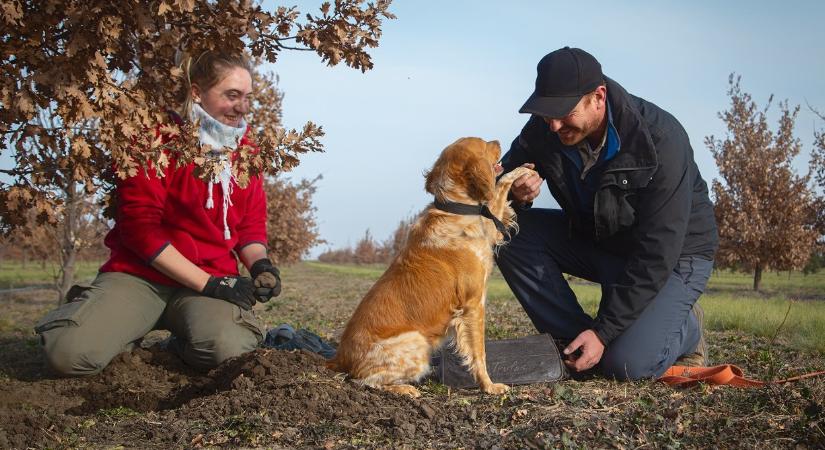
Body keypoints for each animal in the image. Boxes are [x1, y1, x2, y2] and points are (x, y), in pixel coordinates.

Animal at [326, 137, 536, 398]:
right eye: (484, 143)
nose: (497, 141)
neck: (455, 208)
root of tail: (339, 357)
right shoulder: (473, 304)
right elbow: (479, 353)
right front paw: (488, 386)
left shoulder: (490, 228)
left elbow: (500, 187)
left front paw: (522, 171)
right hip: (417, 342)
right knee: (362, 380)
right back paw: (405, 388)